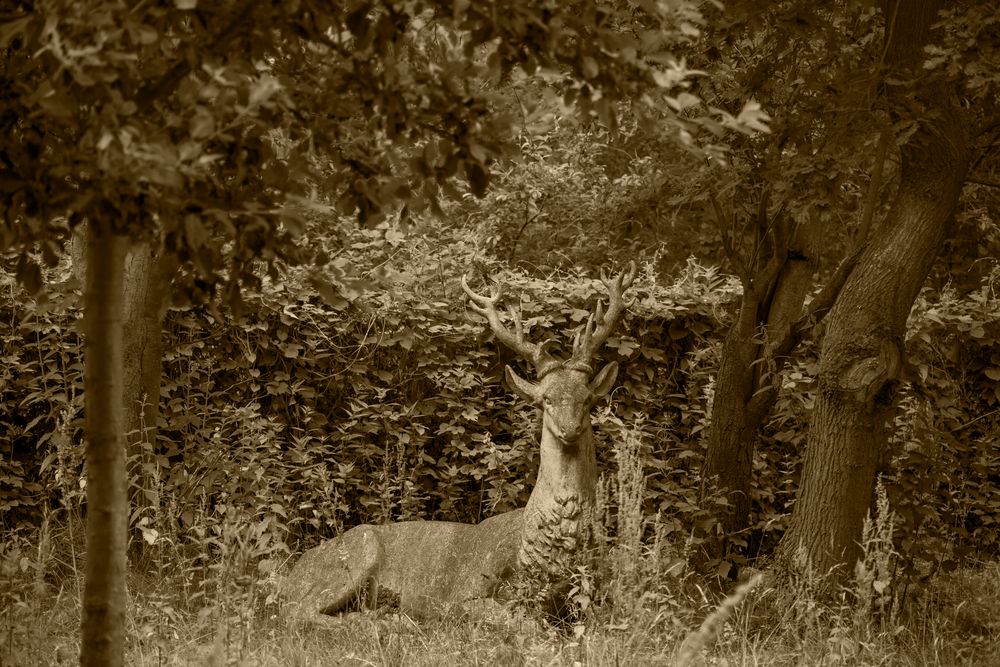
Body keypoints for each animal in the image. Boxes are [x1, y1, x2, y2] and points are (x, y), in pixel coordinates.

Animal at [280, 260, 640, 620]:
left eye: (587, 398)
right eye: (546, 399)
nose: (569, 428)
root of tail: (292, 575)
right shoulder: (463, 595)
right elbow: (520, 622)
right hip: (357, 552)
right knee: (299, 614)